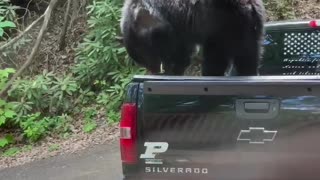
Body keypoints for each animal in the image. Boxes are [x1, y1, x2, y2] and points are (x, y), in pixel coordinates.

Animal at [120, 0, 264, 76]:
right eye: (141, 59)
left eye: (144, 55)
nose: (154, 70)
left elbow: (179, 53)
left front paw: (173, 69)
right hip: (247, 29)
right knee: (248, 56)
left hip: (224, 27)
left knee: (216, 58)